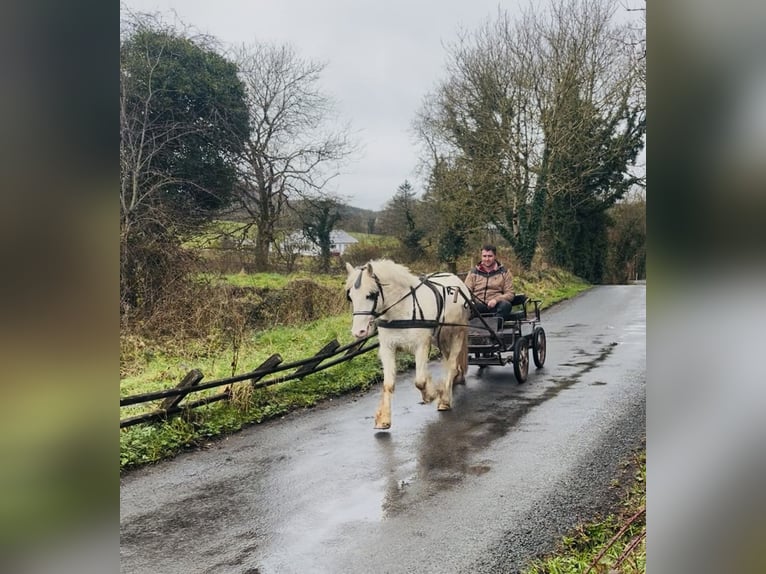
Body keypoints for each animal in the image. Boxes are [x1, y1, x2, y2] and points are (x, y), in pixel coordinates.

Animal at [345, 259, 471, 429]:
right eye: (350, 297)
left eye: (370, 295)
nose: (359, 332)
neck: (402, 309)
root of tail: (456, 279)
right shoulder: (388, 348)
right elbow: (388, 384)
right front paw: (384, 419)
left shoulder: (422, 346)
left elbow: (420, 381)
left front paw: (432, 394)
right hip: (441, 338)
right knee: (450, 361)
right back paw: (453, 382)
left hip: (457, 334)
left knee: (451, 364)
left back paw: (444, 399)